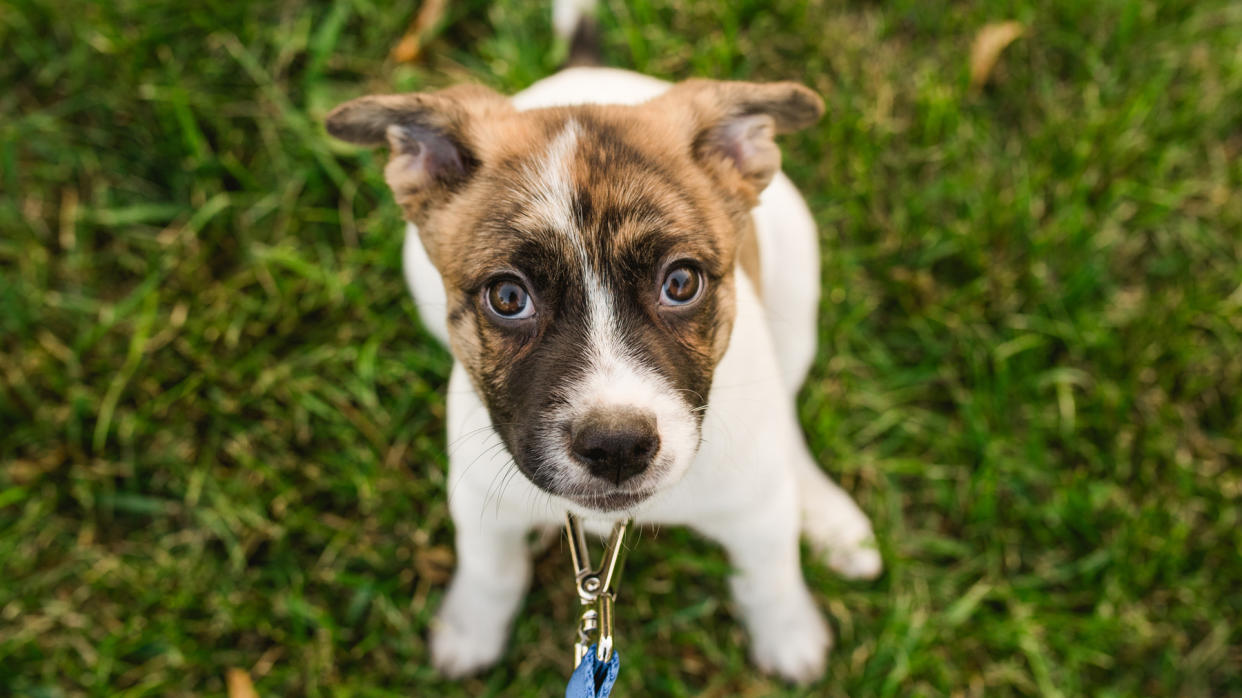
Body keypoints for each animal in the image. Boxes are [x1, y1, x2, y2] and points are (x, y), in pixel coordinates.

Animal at [325, 5, 879, 680]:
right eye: (507, 297)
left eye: (681, 282)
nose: (617, 448)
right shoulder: (478, 498)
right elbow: (490, 570)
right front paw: (470, 630)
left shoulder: (758, 513)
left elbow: (770, 575)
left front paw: (789, 635)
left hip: (798, 281)